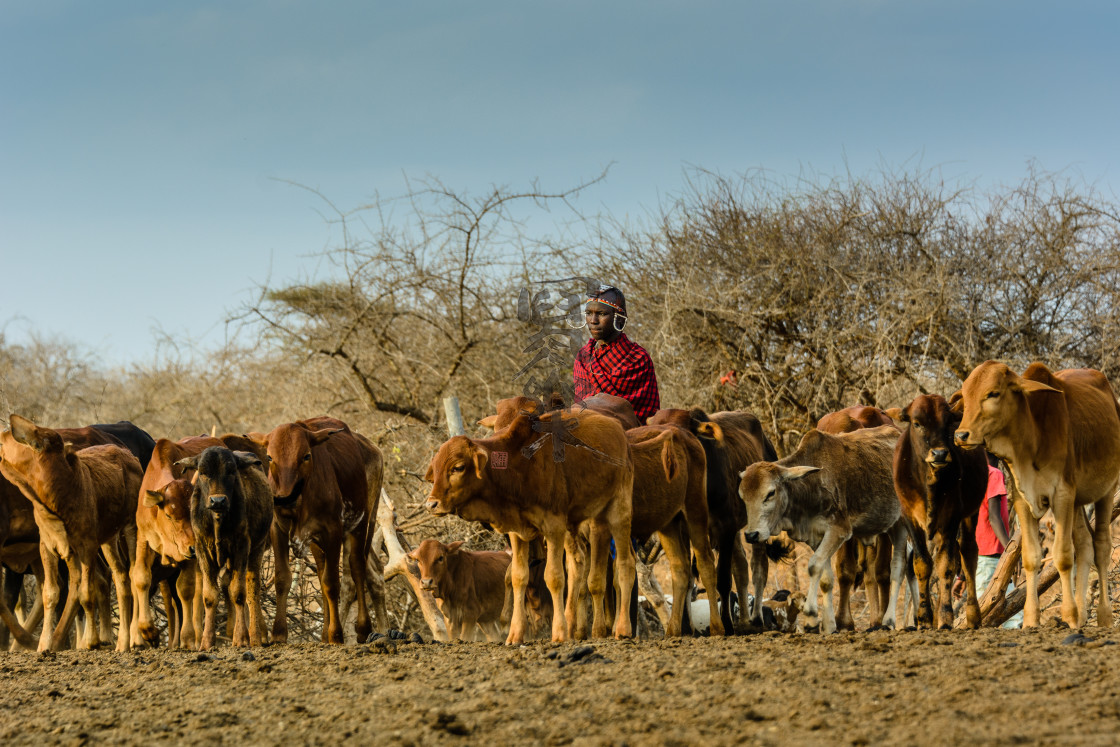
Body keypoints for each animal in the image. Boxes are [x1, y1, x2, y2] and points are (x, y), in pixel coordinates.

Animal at [0, 418, 142, 649]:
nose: (6, 432)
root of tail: (129, 455)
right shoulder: (48, 547)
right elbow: (50, 593)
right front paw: (43, 645)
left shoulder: (86, 546)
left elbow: (85, 593)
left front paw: (90, 641)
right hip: (107, 541)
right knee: (119, 576)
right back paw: (117, 641)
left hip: (130, 529)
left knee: (134, 573)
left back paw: (133, 637)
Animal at [423, 409, 636, 645]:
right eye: (436, 469)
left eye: (458, 467)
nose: (431, 504)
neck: (519, 466)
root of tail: (618, 429)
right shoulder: (518, 532)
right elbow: (518, 577)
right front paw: (515, 633)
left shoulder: (554, 527)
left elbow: (554, 577)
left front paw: (558, 633)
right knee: (580, 566)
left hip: (618, 512)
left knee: (624, 565)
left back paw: (620, 628)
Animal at [743, 425, 909, 631]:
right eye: (743, 496)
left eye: (770, 493)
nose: (751, 535)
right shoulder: (816, 537)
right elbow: (825, 578)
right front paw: (829, 625)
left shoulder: (839, 531)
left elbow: (814, 566)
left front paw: (811, 613)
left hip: (901, 525)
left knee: (898, 568)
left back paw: (889, 620)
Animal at [891, 394, 990, 627]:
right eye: (917, 423)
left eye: (947, 424)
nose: (939, 453)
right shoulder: (909, 518)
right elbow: (922, 564)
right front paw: (925, 618)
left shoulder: (952, 518)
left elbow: (945, 565)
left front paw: (945, 617)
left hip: (971, 514)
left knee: (968, 554)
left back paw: (973, 616)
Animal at [954, 362, 1120, 631]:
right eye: (965, 396)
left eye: (993, 393)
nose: (961, 436)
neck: (1032, 434)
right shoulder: (1024, 500)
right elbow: (1031, 558)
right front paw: (1032, 620)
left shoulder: (1062, 494)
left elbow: (1063, 556)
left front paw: (1068, 615)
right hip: (1078, 502)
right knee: (1085, 544)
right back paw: (1083, 614)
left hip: (1106, 490)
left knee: (1102, 546)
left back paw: (1103, 616)